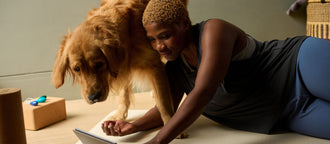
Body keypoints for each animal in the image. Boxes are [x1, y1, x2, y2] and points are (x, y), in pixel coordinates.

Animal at [51, 0, 186, 128]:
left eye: (99, 64)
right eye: (77, 69)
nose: (93, 97)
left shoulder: (154, 65)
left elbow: (163, 104)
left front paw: (170, 125)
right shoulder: (121, 66)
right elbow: (124, 92)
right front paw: (119, 115)